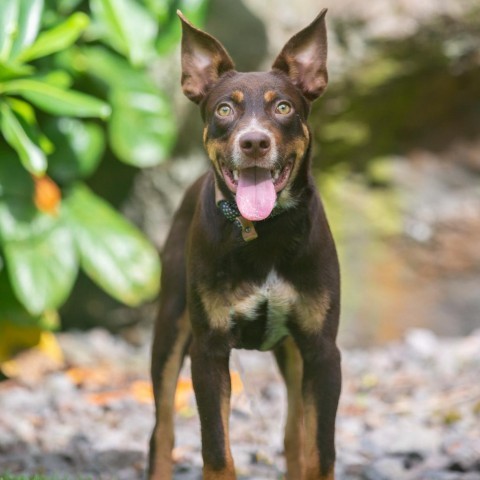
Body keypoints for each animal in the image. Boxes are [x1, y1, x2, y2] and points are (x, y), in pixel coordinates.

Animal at [149, 8, 342, 480]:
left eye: (283, 106)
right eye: (224, 109)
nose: (254, 141)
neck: (264, 234)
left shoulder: (323, 352)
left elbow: (320, 452)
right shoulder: (208, 350)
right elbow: (217, 451)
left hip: (293, 353)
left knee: (294, 435)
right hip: (170, 327)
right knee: (161, 431)